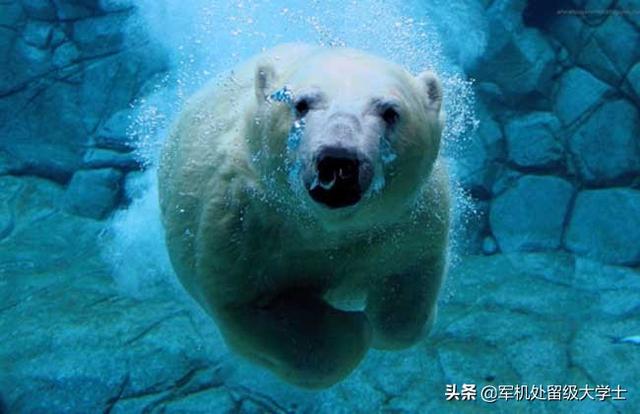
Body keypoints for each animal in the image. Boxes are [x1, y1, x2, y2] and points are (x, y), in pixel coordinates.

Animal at [158, 43, 450, 389]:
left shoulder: (406, 221)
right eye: (301, 104)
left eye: (390, 111)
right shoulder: (242, 225)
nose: (338, 161)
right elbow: (252, 309)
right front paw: (354, 329)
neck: (324, 227)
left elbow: (408, 284)